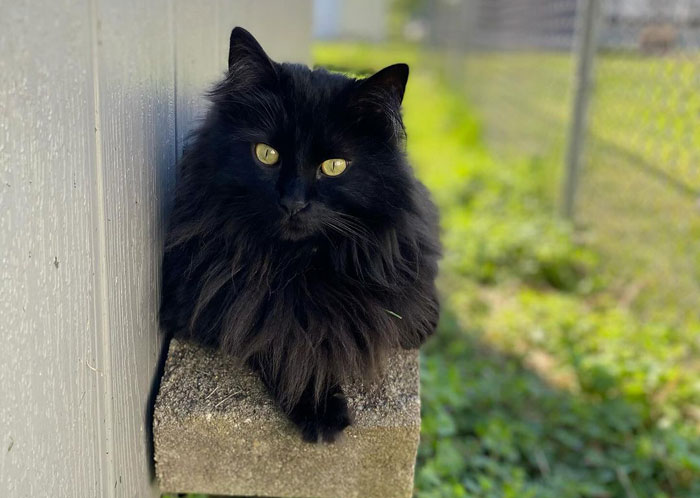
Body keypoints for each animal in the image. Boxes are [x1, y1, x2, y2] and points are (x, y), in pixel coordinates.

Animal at [161, 27, 440, 442]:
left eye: (334, 166)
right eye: (266, 154)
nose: (293, 202)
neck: (303, 263)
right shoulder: (222, 299)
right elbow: (285, 337)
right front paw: (319, 407)